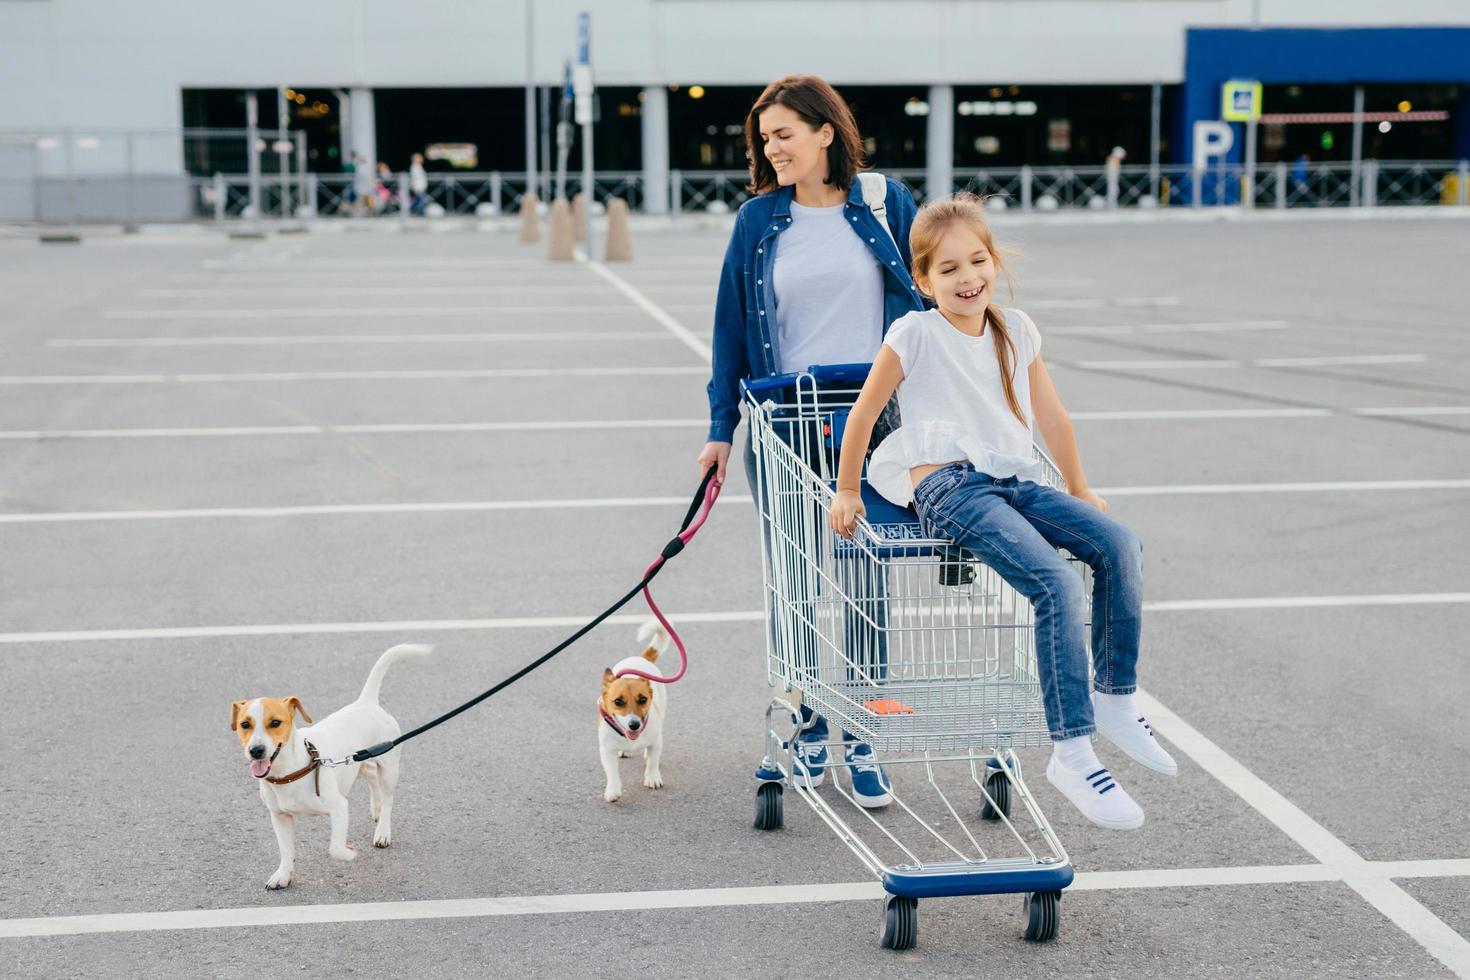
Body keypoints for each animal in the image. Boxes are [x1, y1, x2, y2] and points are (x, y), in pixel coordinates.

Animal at [226, 643, 429, 887]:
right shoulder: (279, 817)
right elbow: (285, 850)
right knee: (371, 774)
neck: (290, 771)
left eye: (275, 723)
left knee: (388, 798)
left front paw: (350, 853)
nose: (256, 750)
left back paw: (383, 831)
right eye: (244, 724)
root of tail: (366, 702)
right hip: (358, 762)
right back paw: (376, 808)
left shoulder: (339, 807)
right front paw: (283, 874)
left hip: (389, 767)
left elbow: (335, 849)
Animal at [596, 620, 673, 805]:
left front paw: (652, 777)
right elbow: (612, 772)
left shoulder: (656, 742)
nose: (634, 724)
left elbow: (653, 761)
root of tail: (642, 658)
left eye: (643, 699)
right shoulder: (606, 750)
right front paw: (613, 791)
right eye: (618, 702)